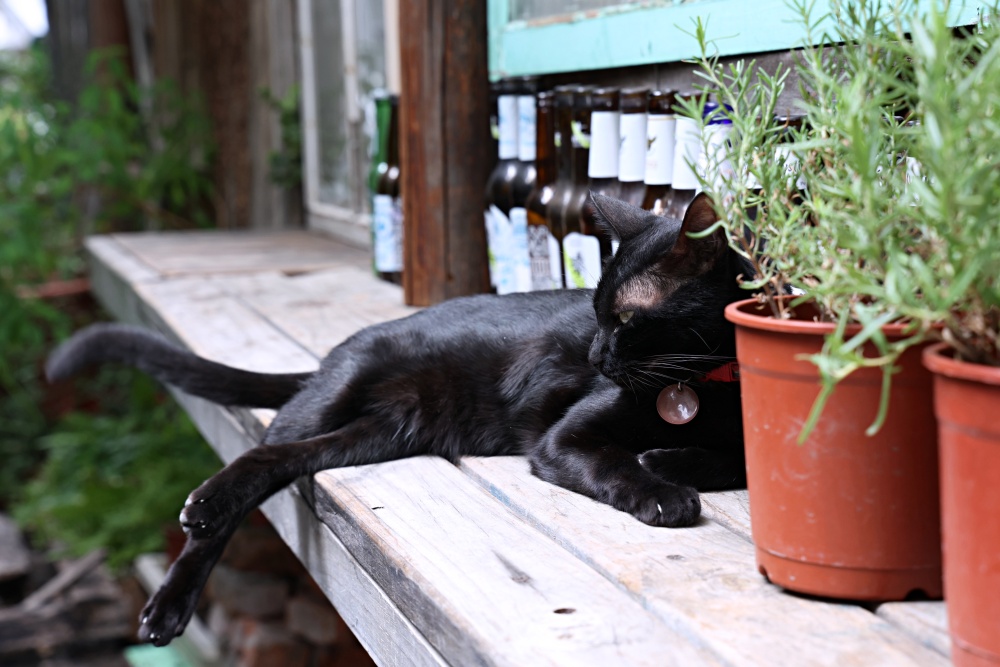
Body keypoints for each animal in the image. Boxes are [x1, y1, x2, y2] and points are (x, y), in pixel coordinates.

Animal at [47, 193, 752, 648]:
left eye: (625, 320)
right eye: (597, 314)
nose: (595, 356)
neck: (701, 385)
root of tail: (333, 355)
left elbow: (732, 460)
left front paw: (673, 460)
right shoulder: (561, 440)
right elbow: (611, 463)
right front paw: (661, 492)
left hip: (367, 437)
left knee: (280, 464)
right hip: (328, 401)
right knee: (248, 467)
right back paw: (177, 583)